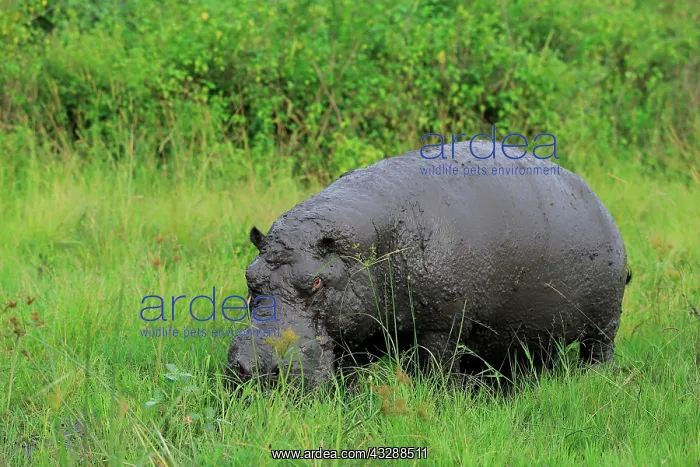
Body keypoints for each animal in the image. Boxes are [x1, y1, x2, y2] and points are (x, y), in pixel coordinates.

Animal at [228, 140, 630, 387]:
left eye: (315, 282)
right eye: (250, 277)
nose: (254, 367)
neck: (371, 245)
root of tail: (598, 201)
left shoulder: (441, 328)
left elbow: (433, 372)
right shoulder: (357, 331)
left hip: (604, 323)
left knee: (598, 351)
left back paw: (596, 379)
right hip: (527, 333)